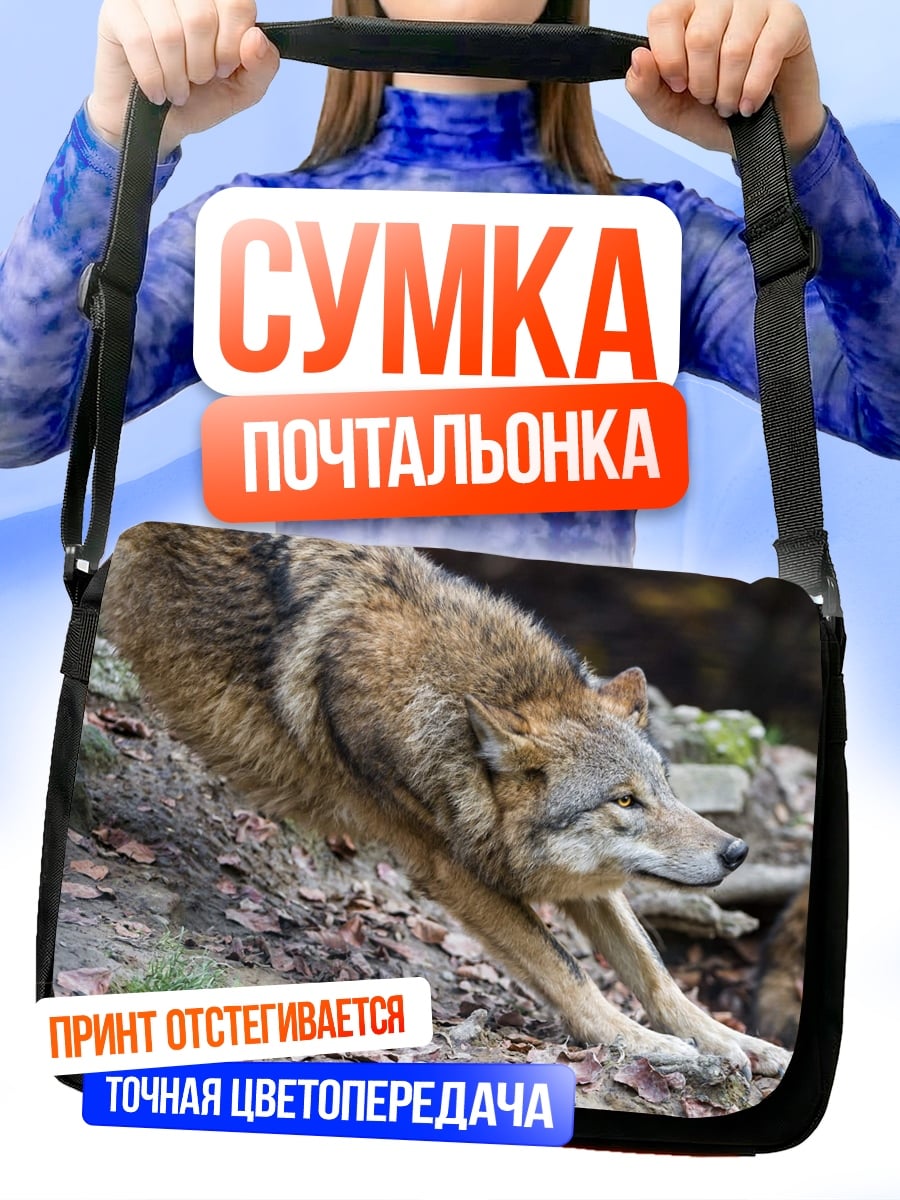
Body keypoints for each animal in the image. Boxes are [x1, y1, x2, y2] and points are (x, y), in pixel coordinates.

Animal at [100, 522, 789, 1077]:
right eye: (624, 802)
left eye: (663, 789)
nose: (737, 851)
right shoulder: (452, 869)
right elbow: (566, 968)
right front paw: (646, 1044)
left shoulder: (576, 881)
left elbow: (654, 971)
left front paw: (733, 1042)